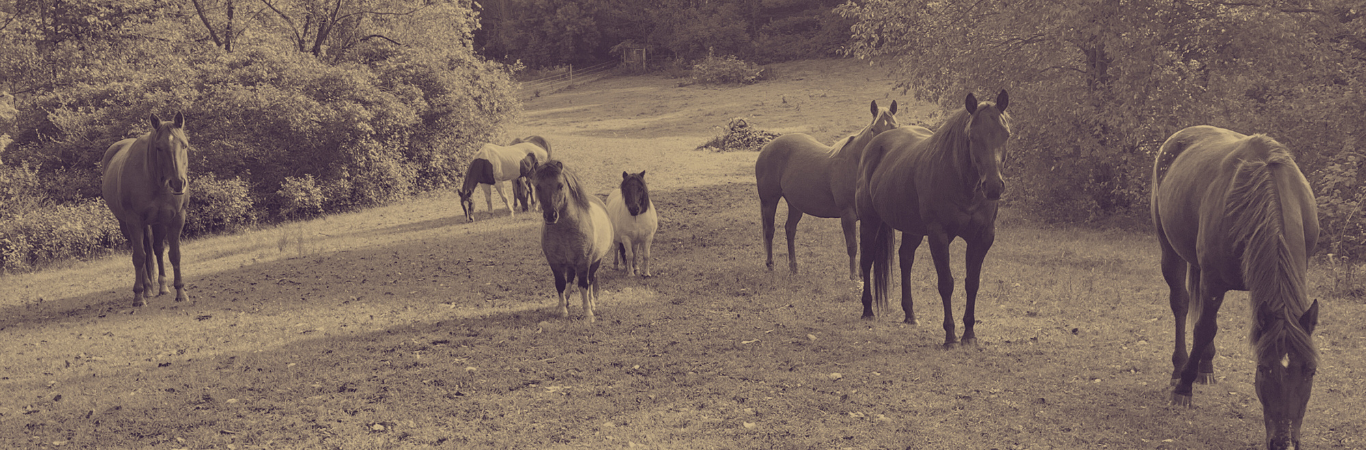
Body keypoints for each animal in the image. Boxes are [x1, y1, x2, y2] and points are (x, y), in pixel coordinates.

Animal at [101, 113, 191, 307]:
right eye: (159, 148)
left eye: (184, 144)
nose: (178, 183)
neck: (155, 181)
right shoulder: (134, 221)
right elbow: (139, 257)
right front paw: (138, 296)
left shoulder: (176, 218)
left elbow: (175, 254)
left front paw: (180, 292)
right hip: (126, 225)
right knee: (141, 252)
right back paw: (147, 289)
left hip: (158, 223)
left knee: (157, 249)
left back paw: (162, 287)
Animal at [534, 160, 614, 322]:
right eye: (538, 186)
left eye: (560, 185)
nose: (550, 215)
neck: (565, 230)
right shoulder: (554, 262)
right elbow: (561, 284)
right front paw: (562, 310)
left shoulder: (584, 261)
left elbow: (583, 284)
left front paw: (588, 313)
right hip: (570, 264)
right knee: (570, 279)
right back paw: (566, 302)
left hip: (595, 261)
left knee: (590, 280)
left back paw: (592, 304)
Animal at [755, 100, 898, 280]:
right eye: (873, 129)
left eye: (895, 127)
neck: (856, 164)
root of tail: (767, 148)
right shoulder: (847, 214)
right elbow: (852, 246)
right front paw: (853, 277)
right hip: (769, 202)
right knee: (769, 231)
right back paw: (770, 265)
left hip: (795, 205)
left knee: (790, 230)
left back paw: (794, 268)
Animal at [855, 91, 1010, 348]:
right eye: (972, 136)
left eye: (1005, 134)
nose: (993, 186)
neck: (961, 182)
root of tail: (874, 144)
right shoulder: (939, 236)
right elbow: (946, 284)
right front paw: (950, 336)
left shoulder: (982, 237)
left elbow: (972, 283)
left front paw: (969, 334)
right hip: (869, 222)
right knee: (867, 261)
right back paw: (867, 310)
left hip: (913, 230)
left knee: (905, 259)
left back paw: (910, 315)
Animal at [1151, 126, 1319, 450]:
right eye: (1264, 369)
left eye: (1310, 370)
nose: (1284, 442)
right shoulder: (1214, 281)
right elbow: (1204, 328)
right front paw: (1183, 389)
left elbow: (1208, 326)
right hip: (1170, 249)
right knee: (1181, 304)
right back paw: (1179, 369)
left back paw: (1206, 367)